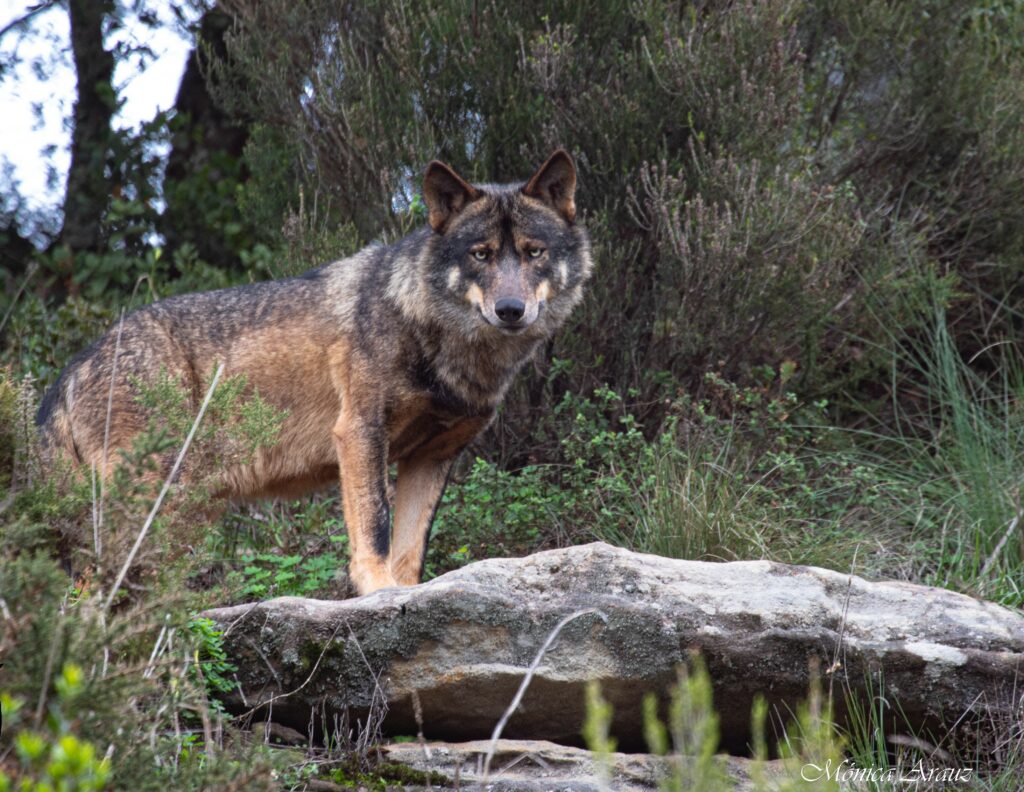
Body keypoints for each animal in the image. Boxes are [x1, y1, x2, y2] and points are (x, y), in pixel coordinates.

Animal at [36, 149, 593, 594]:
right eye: (481, 254)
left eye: (534, 252)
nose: (511, 310)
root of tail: (74, 366)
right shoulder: (360, 432)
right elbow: (375, 526)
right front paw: (377, 591)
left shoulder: (432, 458)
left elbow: (410, 551)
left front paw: (406, 594)